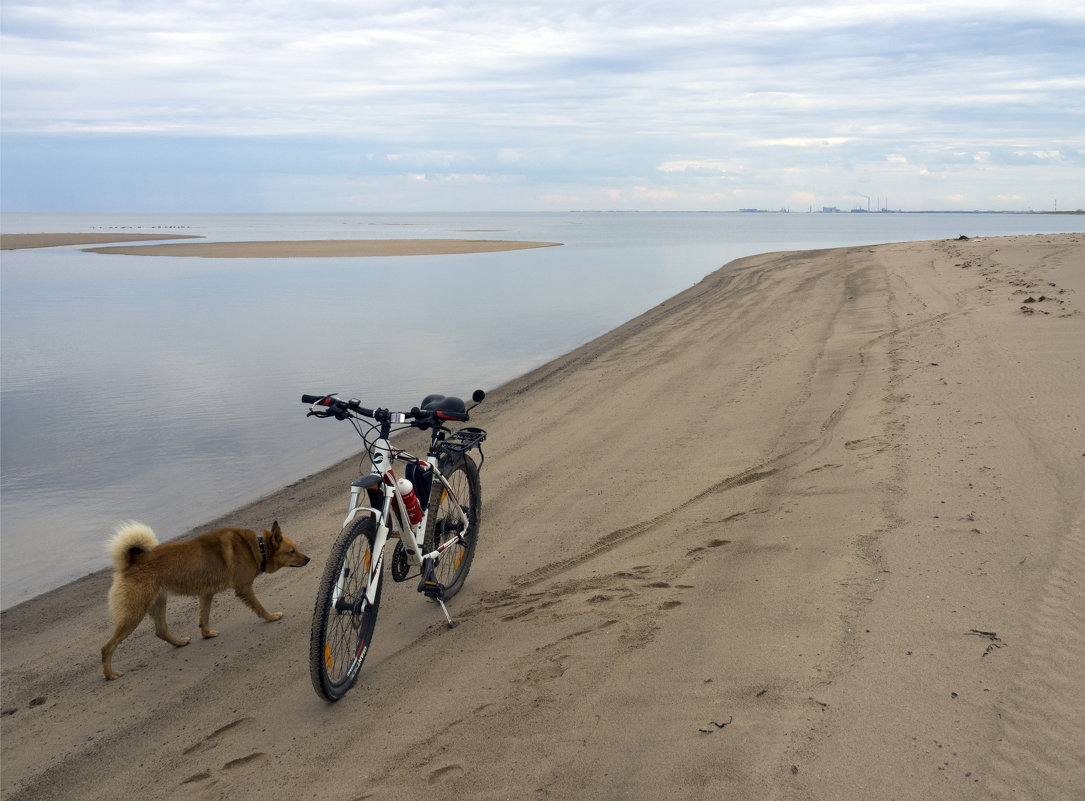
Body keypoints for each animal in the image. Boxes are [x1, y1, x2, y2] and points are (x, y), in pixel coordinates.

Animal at [101, 518, 308, 681]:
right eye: (292, 551)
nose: (308, 559)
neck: (258, 548)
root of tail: (132, 562)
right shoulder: (244, 589)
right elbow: (259, 607)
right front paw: (271, 617)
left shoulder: (206, 594)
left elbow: (204, 618)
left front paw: (207, 634)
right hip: (134, 613)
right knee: (107, 648)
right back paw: (110, 674)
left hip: (158, 603)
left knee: (161, 631)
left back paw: (179, 643)